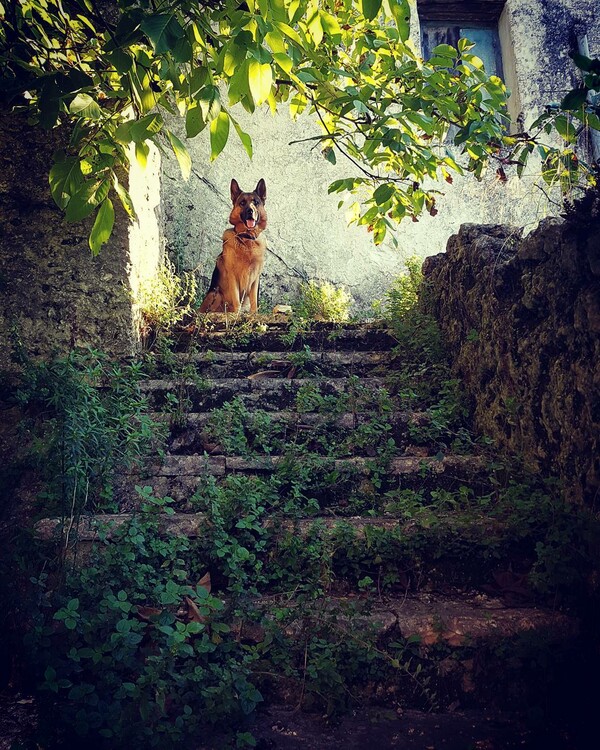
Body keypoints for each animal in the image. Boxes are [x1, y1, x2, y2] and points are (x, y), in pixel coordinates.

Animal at [199, 179, 268, 314]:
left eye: (256, 202)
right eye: (242, 203)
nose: (250, 211)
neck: (247, 239)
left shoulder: (255, 278)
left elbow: (254, 302)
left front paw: (254, 315)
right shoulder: (233, 275)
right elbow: (236, 299)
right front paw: (236, 314)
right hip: (216, 294)